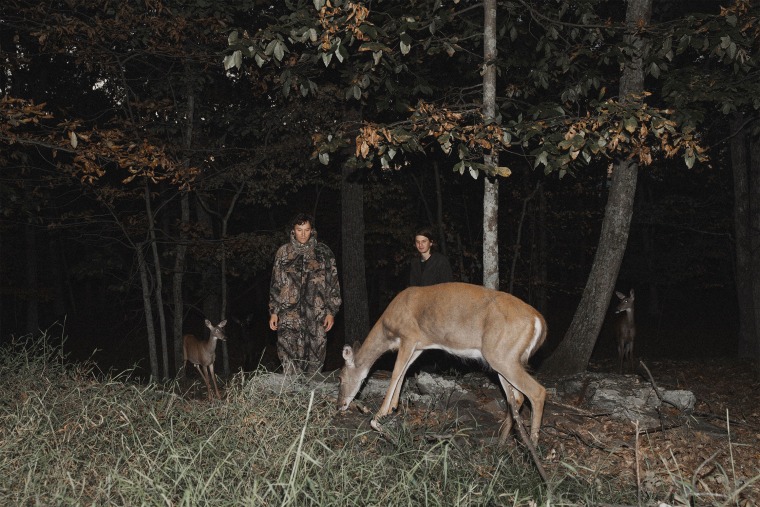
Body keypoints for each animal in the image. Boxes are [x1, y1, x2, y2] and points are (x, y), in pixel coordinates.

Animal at [338, 284, 548, 446]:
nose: (340, 405)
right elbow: (404, 372)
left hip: (501, 355)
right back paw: (502, 443)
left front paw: (378, 416)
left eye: (340, 377)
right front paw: (392, 409)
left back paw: (532, 449)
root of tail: (539, 321)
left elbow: (396, 372)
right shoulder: (419, 346)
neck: (387, 331)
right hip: (503, 358)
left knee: (537, 392)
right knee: (518, 397)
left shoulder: (408, 335)